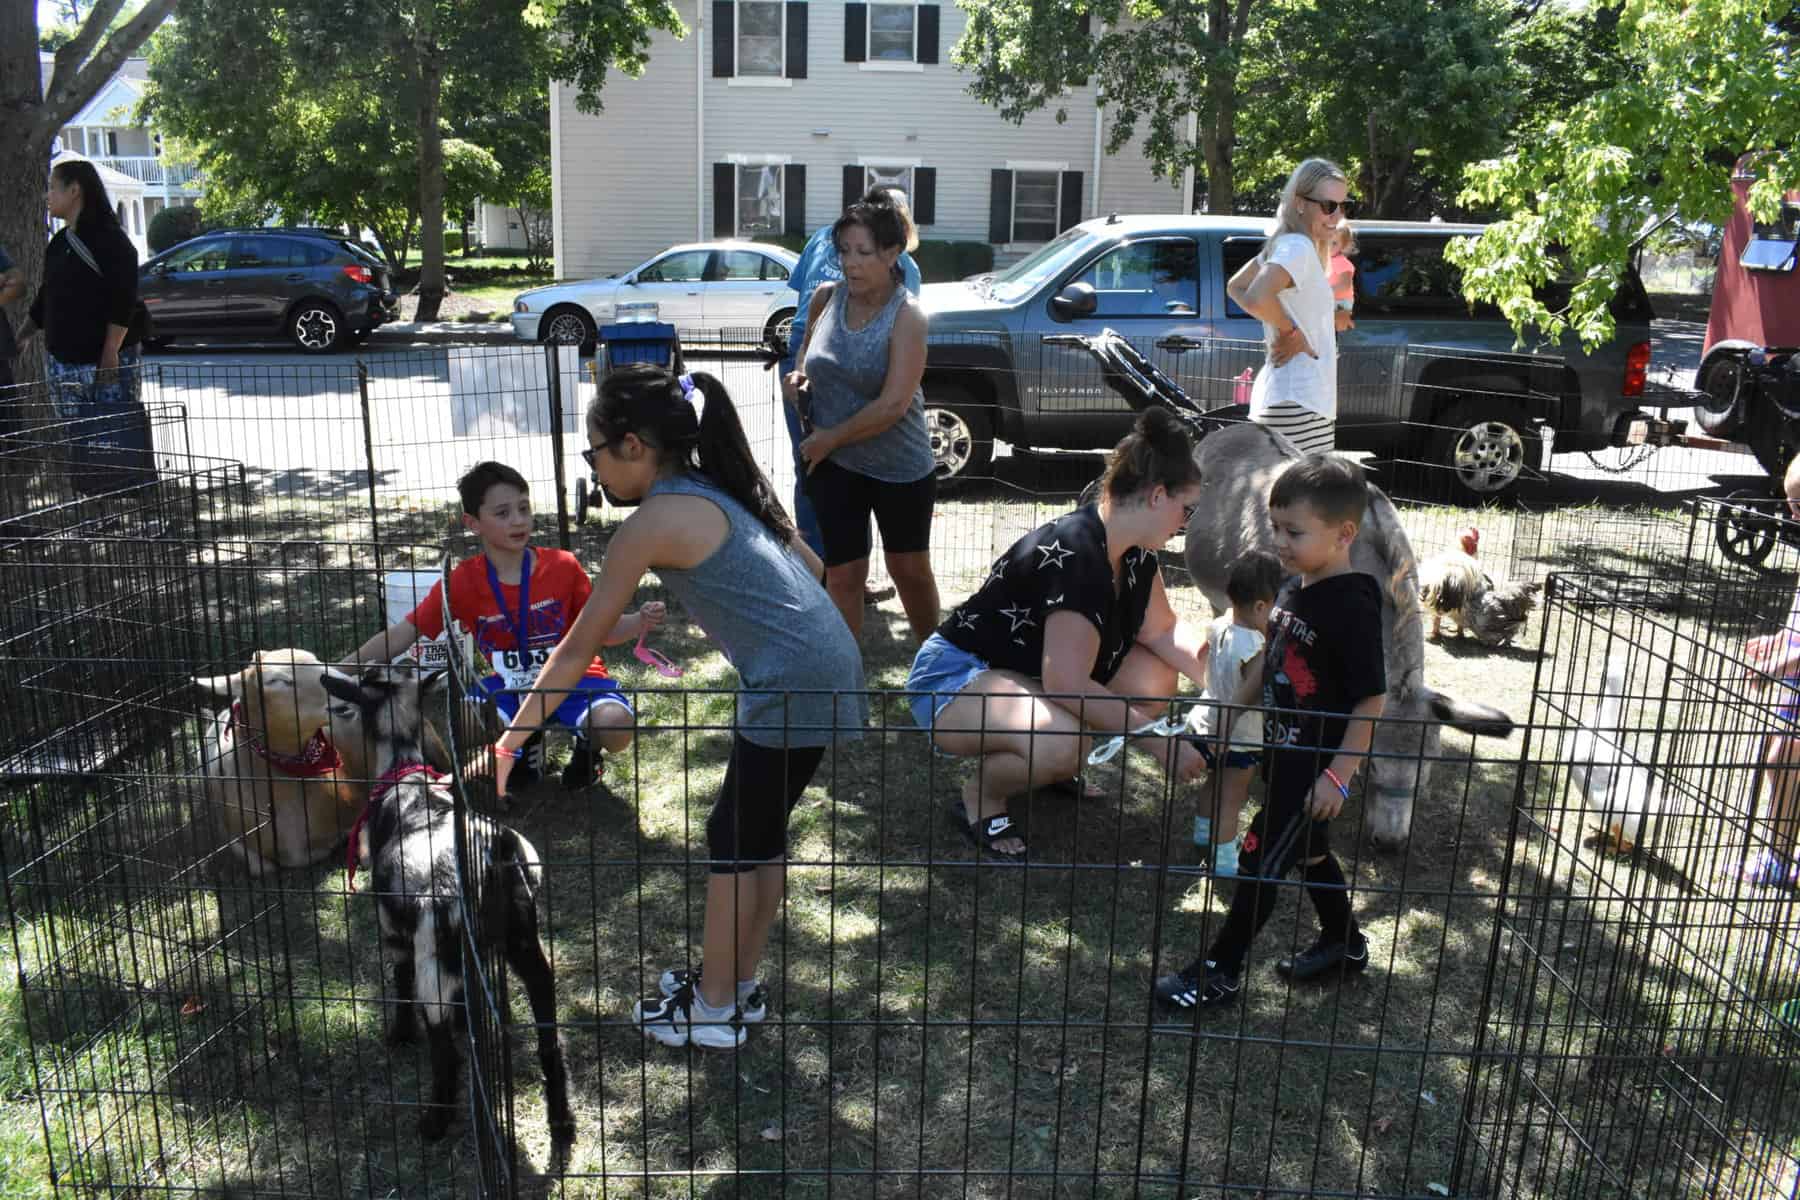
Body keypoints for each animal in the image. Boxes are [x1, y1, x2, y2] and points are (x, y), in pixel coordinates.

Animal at [320, 662, 576, 1158]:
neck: (403, 772)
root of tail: (495, 856)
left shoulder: (395, 932)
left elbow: (399, 983)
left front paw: (400, 1035)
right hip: (526, 945)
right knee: (549, 1040)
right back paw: (561, 1120)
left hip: (434, 961)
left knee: (446, 1052)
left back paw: (435, 1120)